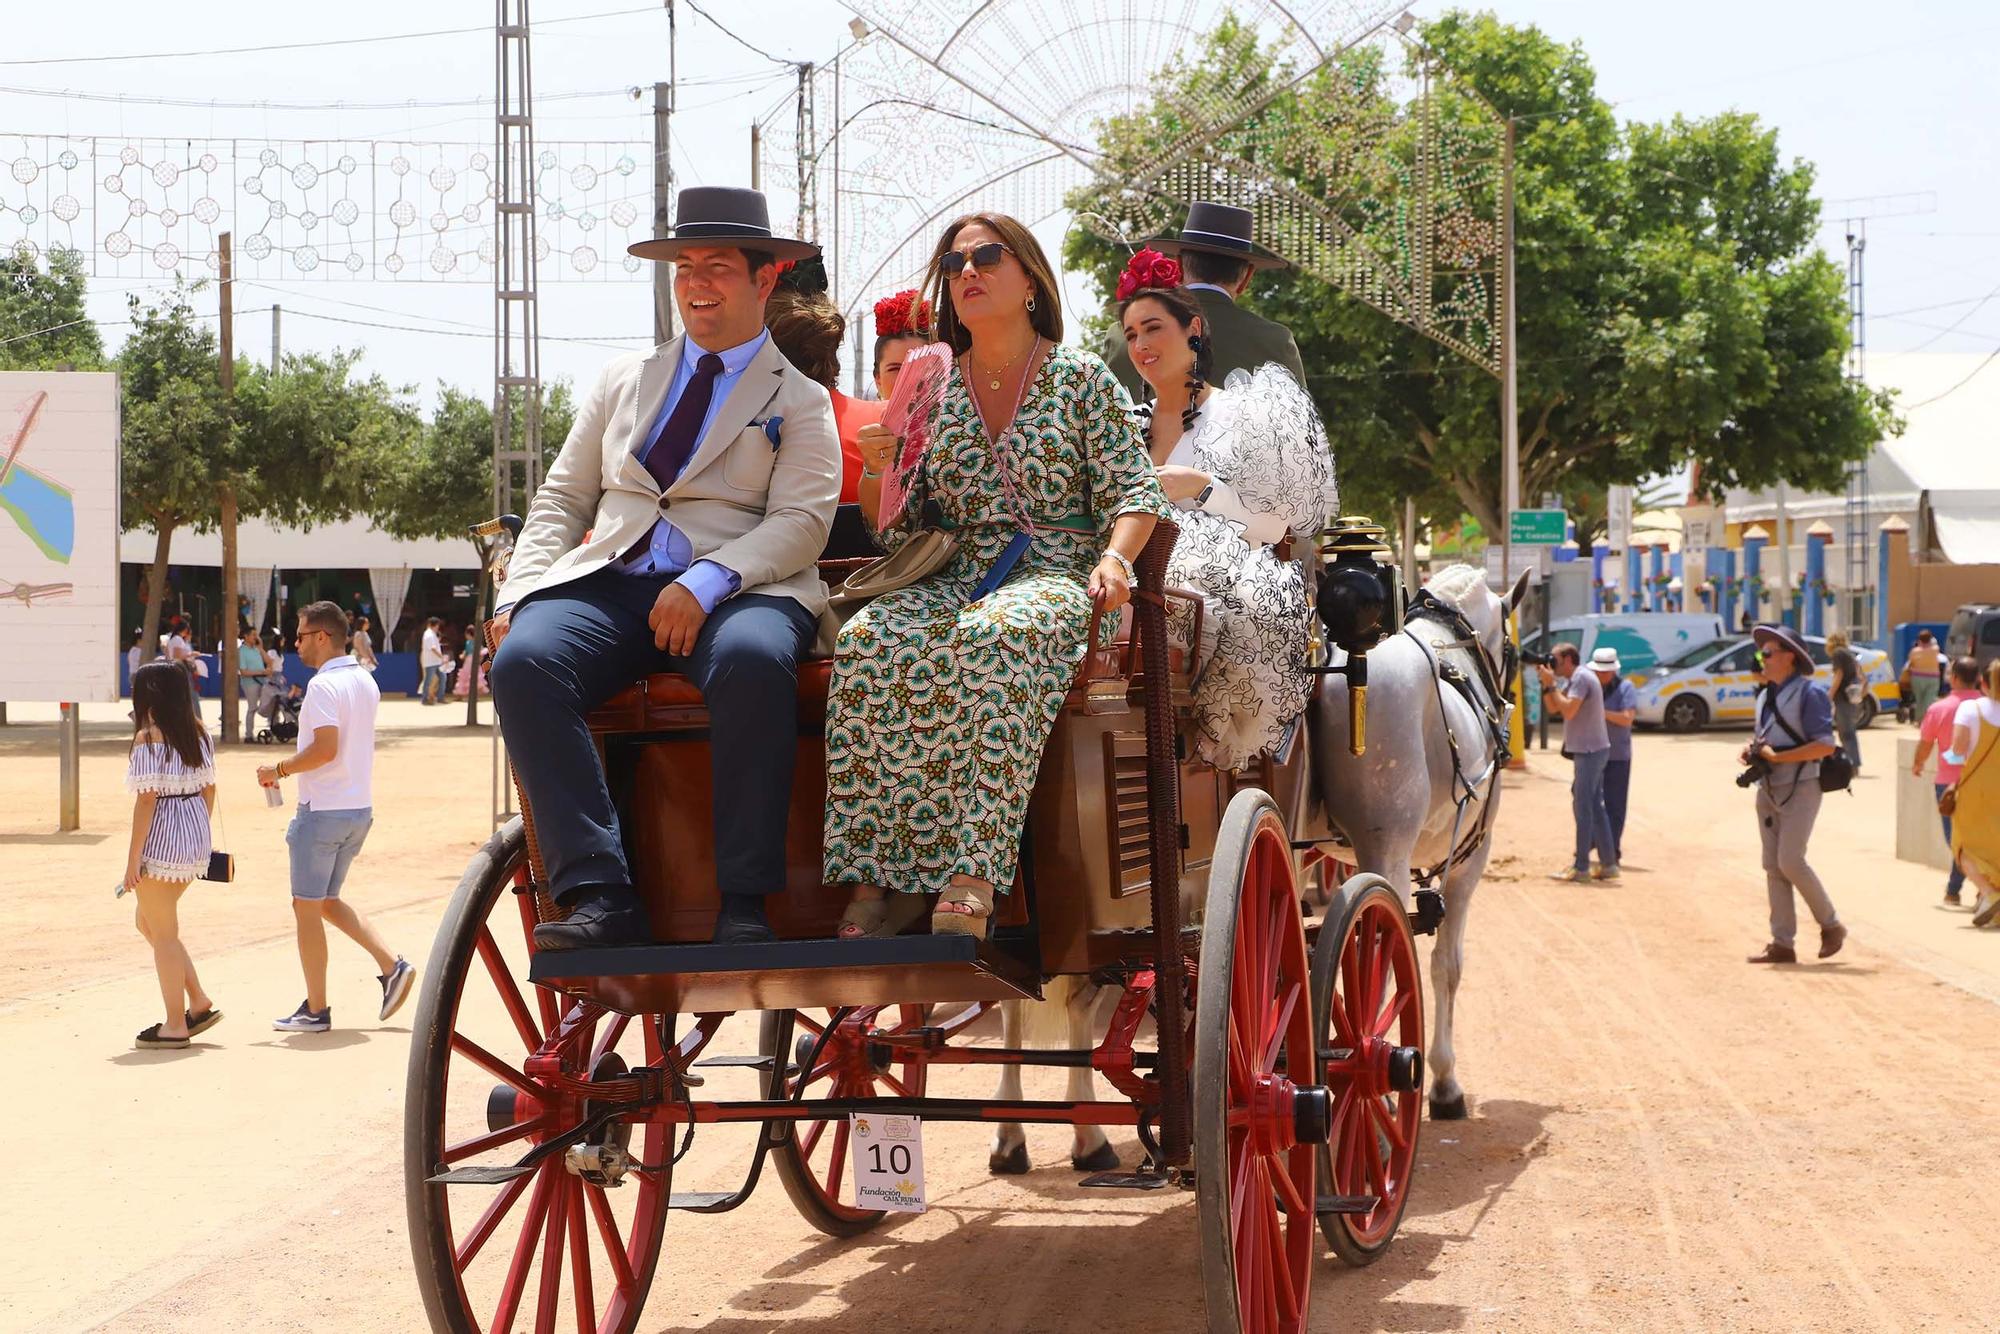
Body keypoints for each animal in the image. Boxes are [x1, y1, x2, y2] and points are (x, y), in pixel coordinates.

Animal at [1304, 564, 1520, 1120]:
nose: (1509, 700)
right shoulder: (1470, 861)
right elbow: (1447, 967)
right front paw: (1445, 1083)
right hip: (1388, 855)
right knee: (1375, 966)